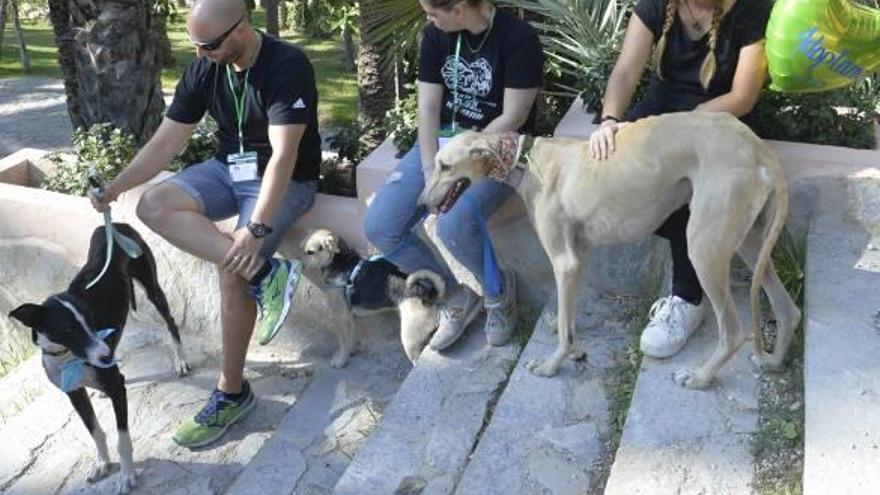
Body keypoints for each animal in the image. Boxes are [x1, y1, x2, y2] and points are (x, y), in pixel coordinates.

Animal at [6, 224, 186, 492]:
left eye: (91, 320)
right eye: (68, 329)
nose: (107, 356)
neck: (67, 357)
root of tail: (113, 225)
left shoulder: (117, 387)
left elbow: (122, 439)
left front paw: (127, 475)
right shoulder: (74, 393)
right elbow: (95, 431)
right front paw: (102, 463)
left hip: (151, 285)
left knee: (171, 322)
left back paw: (181, 360)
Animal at [300, 229, 446, 364]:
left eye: (310, 252)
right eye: (302, 249)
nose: (299, 263)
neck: (340, 262)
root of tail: (428, 294)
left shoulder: (341, 317)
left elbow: (344, 341)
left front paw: (341, 360)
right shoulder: (350, 317)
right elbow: (352, 337)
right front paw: (351, 351)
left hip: (410, 339)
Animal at [422, 113, 800, 392]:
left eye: (444, 165)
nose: (422, 204)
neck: (527, 161)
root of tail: (758, 148)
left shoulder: (564, 262)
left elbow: (563, 327)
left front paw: (550, 365)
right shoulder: (578, 258)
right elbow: (569, 319)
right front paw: (572, 347)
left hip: (704, 249)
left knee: (733, 331)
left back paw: (700, 377)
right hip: (748, 241)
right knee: (788, 309)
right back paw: (773, 361)